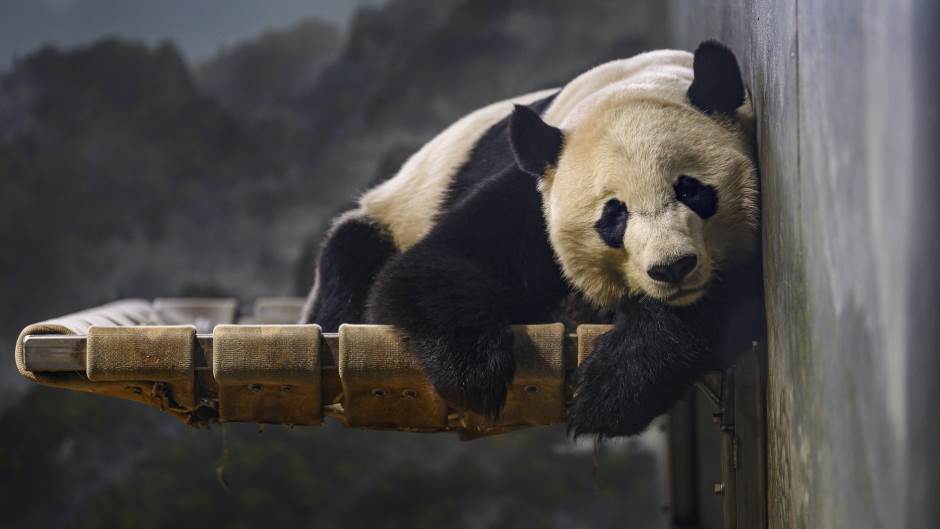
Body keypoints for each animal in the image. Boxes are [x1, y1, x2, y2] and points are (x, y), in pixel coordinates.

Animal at [301, 41, 762, 438]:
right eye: (614, 215)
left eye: (690, 190)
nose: (672, 268)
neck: (631, 85)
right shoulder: (535, 196)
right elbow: (431, 266)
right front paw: (475, 371)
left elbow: (733, 298)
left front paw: (612, 388)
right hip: (388, 215)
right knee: (350, 263)